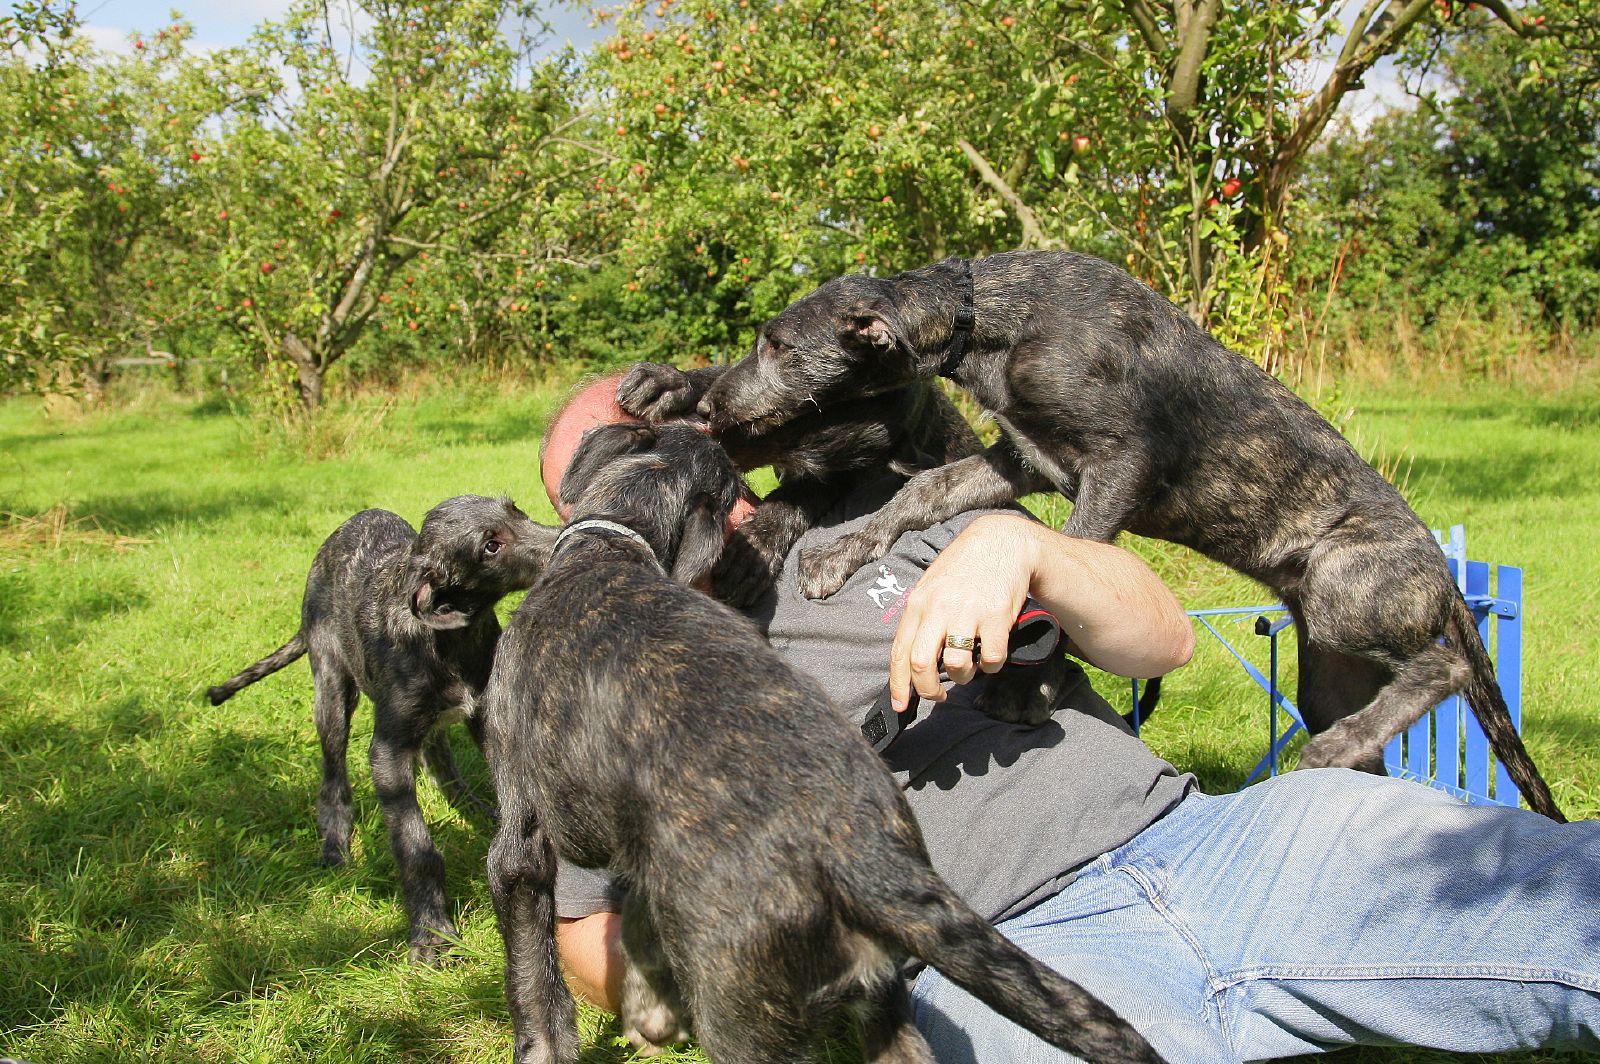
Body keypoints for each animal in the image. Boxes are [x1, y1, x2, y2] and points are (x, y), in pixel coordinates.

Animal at [473, 422, 1164, 1062]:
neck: (611, 543)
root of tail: (860, 855)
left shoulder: (520, 848)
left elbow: (536, 981)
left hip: (745, 1023)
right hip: (881, 1000)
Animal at [691, 249, 1561, 819]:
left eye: (776, 345)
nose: (706, 406)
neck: (992, 321)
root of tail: (1444, 576)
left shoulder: (1118, 467)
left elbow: (1066, 560)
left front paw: (1027, 686)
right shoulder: (1020, 461)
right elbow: (923, 492)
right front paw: (840, 553)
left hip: (1344, 589)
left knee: (1446, 665)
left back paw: (1344, 742)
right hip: (1327, 672)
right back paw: (1345, 757)